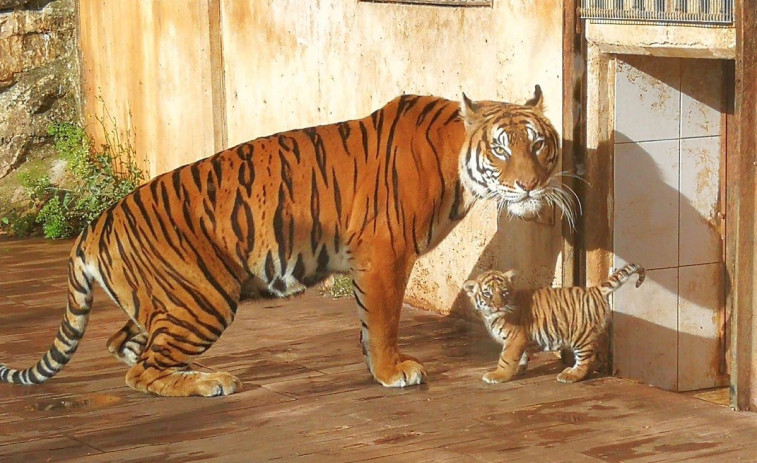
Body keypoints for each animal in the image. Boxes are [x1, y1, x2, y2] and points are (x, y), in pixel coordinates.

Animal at [0, 87, 568, 398]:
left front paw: (376, 365)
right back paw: (209, 381)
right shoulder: (385, 254)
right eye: (500, 150)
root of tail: (94, 226)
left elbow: (369, 323)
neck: (457, 162)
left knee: (126, 345)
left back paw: (194, 370)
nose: (529, 186)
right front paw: (391, 371)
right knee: (141, 369)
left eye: (539, 144)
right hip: (203, 298)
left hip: (164, 301)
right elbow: (383, 320)